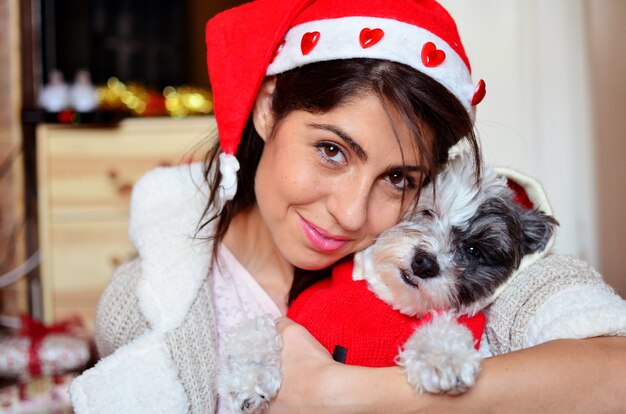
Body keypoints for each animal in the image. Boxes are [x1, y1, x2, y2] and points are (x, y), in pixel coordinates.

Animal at [218, 154, 556, 412]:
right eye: (427, 212)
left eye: (474, 250)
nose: (424, 262)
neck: (385, 299)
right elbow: (259, 329)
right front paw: (250, 376)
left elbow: (444, 329)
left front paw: (443, 358)